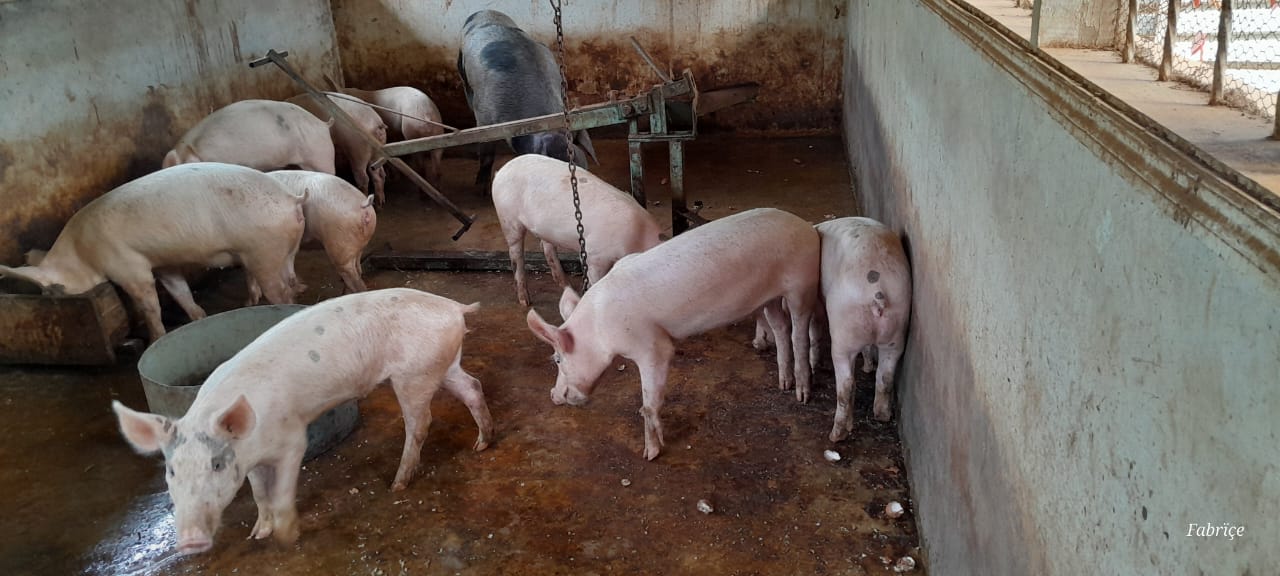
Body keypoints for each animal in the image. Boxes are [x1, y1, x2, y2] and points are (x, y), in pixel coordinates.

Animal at [0, 163, 305, 341]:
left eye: (53, 291)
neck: (82, 253)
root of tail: (292, 198)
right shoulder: (162, 264)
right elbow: (179, 290)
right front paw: (198, 318)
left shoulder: (128, 267)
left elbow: (148, 304)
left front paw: (156, 338)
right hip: (278, 250)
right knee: (287, 279)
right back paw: (250, 304)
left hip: (264, 249)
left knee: (281, 291)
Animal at [111, 288, 493, 554]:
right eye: (171, 471)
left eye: (216, 465)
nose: (190, 541)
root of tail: (454, 307)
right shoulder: (250, 459)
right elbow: (258, 492)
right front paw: (257, 533)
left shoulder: (292, 439)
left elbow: (281, 490)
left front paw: (285, 538)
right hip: (443, 364)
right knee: (472, 386)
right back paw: (482, 443)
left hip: (414, 374)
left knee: (421, 422)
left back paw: (397, 484)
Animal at [492, 154, 662, 307]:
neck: (639, 236)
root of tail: (501, 171)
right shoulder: (594, 255)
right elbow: (595, 279)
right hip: (508, 218)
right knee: (516, 254)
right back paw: (525, 301)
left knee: (547, 247)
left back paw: (566, 285)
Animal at [525, 208, 820, 460]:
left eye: (557, 359)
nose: (554, 395)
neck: (599, 326)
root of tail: (807, 226)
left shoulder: (651, 346)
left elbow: (649, 403)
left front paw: (650, 453)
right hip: (770, 297)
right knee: (780, 327)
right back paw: (783, 383)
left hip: (802, 284)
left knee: (799, 332)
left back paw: (801, 394)